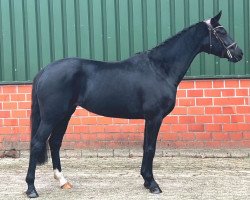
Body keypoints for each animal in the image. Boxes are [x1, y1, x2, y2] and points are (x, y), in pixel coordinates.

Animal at [25, 11, 242, 198]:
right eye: (222, 31)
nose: (239, 53)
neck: (160, 69)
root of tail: (44, 70)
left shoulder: (150, 119)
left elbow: (146, 146)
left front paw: (146, 181)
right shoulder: (154, 117)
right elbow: (150, 148)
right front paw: (153, 184)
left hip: (65, 114)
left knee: (55, 142)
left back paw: (63, 181)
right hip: (52, 116)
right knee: (37, 143)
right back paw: (31, 189)